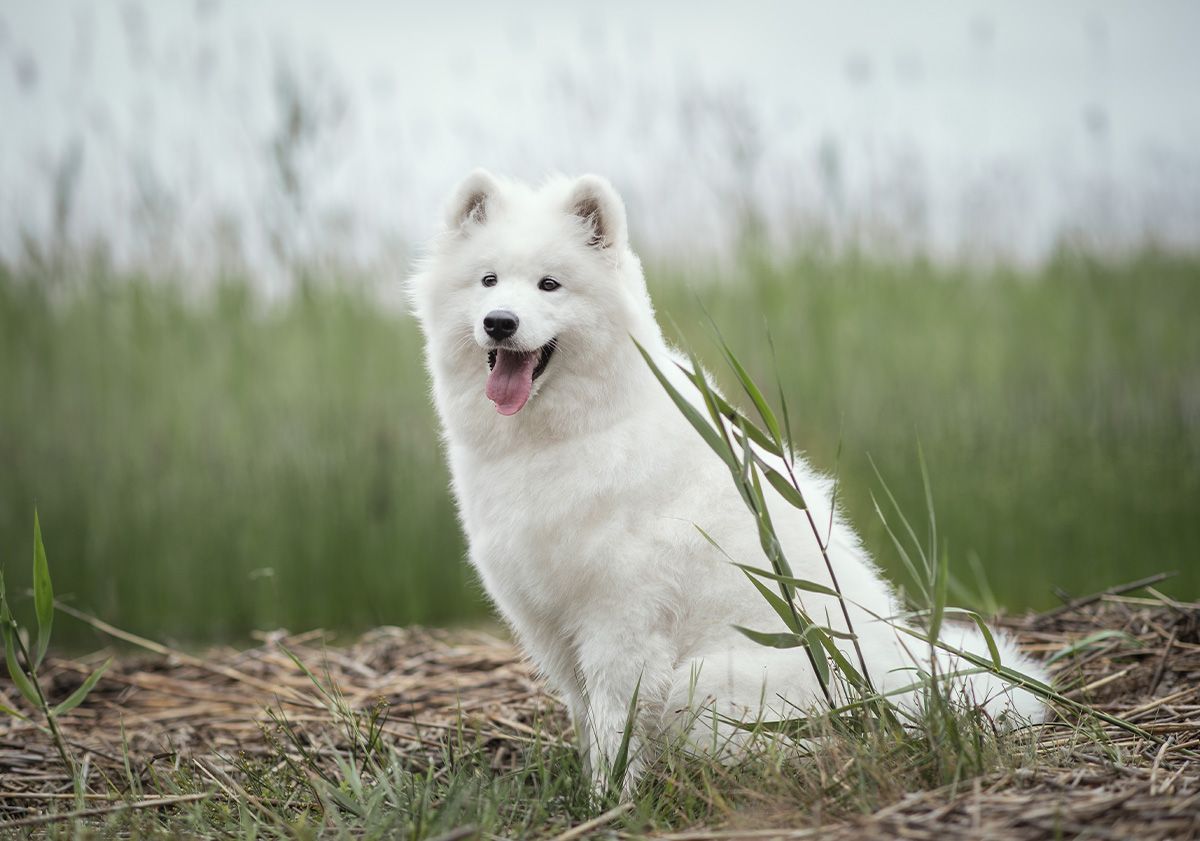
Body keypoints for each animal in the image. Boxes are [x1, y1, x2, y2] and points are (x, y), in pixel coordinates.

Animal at [408, 170, 1046, 787]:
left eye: (549, 285)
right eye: (489, 281)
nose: (499, 323)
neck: (567, 436)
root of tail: (901, 682)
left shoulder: (621, 624)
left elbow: (615, 728)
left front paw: (611, 800)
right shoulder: (554, 629)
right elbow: (586, 718)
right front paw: (589, 794)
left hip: (703, 684)